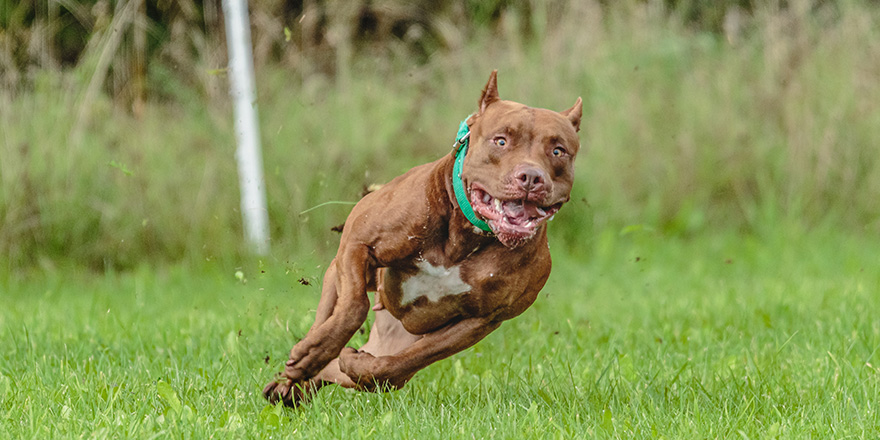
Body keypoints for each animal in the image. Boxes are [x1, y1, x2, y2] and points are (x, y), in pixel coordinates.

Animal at [264, 70, 580, 408]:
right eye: (501, 141)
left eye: (558, 151)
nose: (531, 177)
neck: (464, 236)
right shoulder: (357, 243)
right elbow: (354, 307)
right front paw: (312, 353)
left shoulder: (481, 320)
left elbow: (404, 363)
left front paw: (360, 365)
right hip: (335, 276)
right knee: (331, 314)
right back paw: (300, 369)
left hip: (391, 335)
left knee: (343, 369)